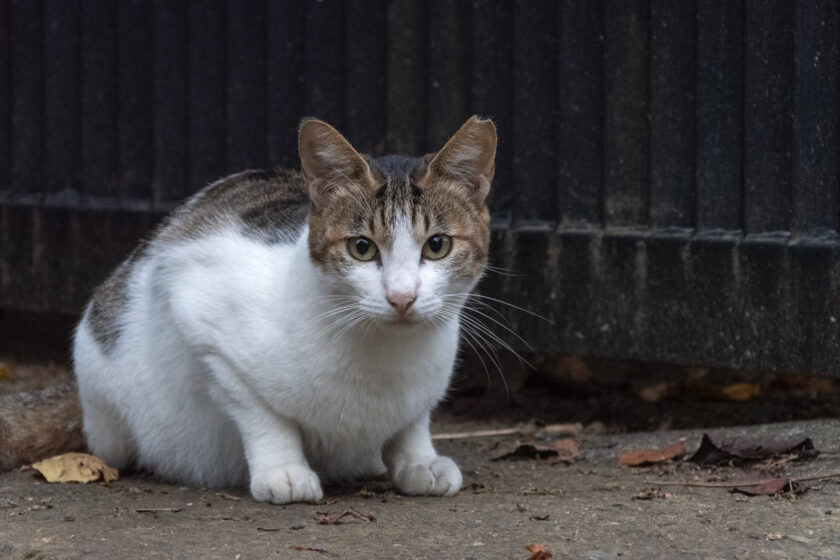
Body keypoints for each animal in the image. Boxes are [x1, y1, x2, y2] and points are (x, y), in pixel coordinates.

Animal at [55, 115, 496, 504]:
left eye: (437, 245)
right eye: (362, 247)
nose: (402, 297)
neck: (385, 356)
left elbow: (413, 420)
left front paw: (419, 460)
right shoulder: (199, 315)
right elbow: (263, 415)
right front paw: (283, 470)